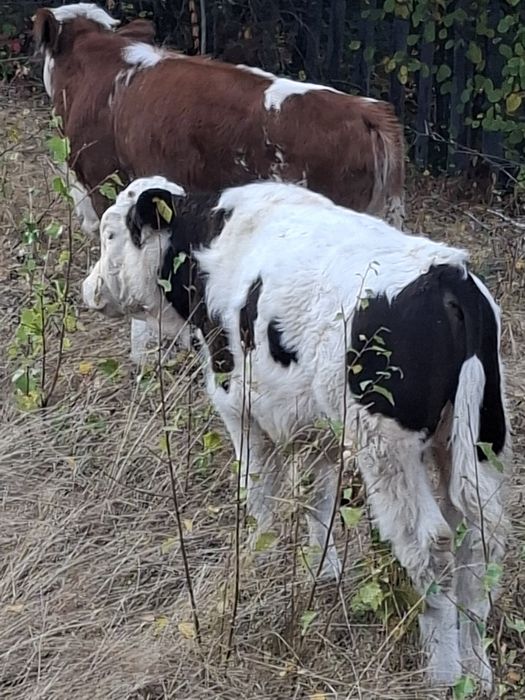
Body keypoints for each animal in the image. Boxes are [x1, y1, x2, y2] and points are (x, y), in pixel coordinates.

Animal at [82, 176, 509, 692]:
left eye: (110, 235)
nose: (90, 288)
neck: (213, 240)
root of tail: (449, 275)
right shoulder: (314, 425)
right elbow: (317, 499)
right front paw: (321, 571)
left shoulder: (237, 405)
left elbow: (258, 490)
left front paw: (260, 559)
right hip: (476, 445)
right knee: (480, 546)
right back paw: (478, 673)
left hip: (388, 453)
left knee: (432, 548)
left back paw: (443, 675)